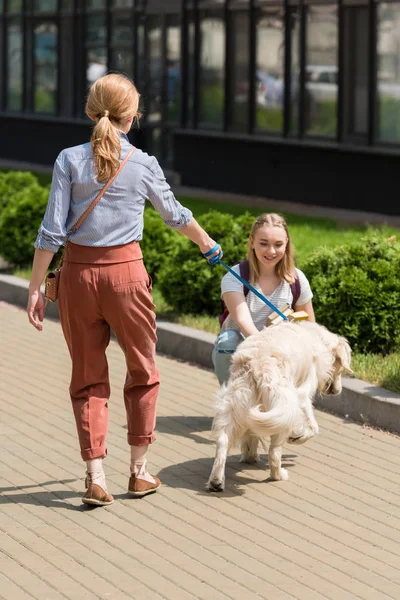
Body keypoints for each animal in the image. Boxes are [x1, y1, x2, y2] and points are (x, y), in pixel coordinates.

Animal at [206, 322, 354, 490]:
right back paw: (278, 475)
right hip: (285, 406)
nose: (337, 391)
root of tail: (259, 365)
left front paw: (250, 453)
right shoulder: (303, 395)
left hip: (235, 404)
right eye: (341, 370)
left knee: (222, 441)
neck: (317, 338)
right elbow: (313, 427)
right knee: (274, 452)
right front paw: (297, 437)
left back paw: (217, 480)